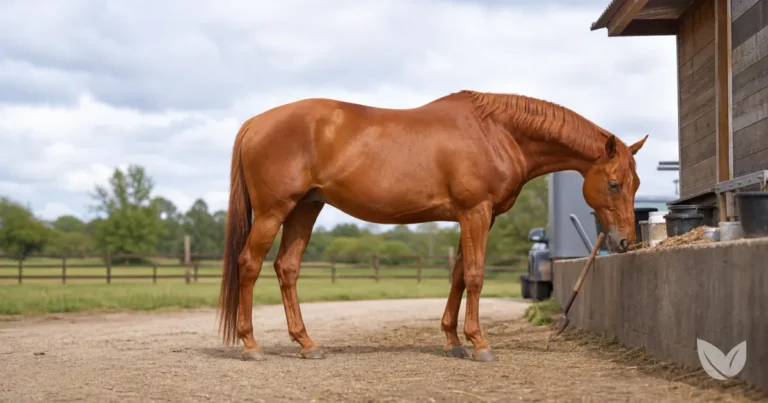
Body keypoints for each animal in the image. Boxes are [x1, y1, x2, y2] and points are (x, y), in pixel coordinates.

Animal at [217, 89, 647, 362]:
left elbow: (457, 276)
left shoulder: (472, 216)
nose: (626, 241)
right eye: (614, 183)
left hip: (306, 208)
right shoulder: (476, 213)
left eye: (636, 183)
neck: (496, 132)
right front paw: (480, 344)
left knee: (286, 268)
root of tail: (256, 122)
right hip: (274, 211)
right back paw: (252, 346)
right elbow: (474, 276)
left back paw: (307, 343)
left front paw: (453, 341)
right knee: (249, 265)